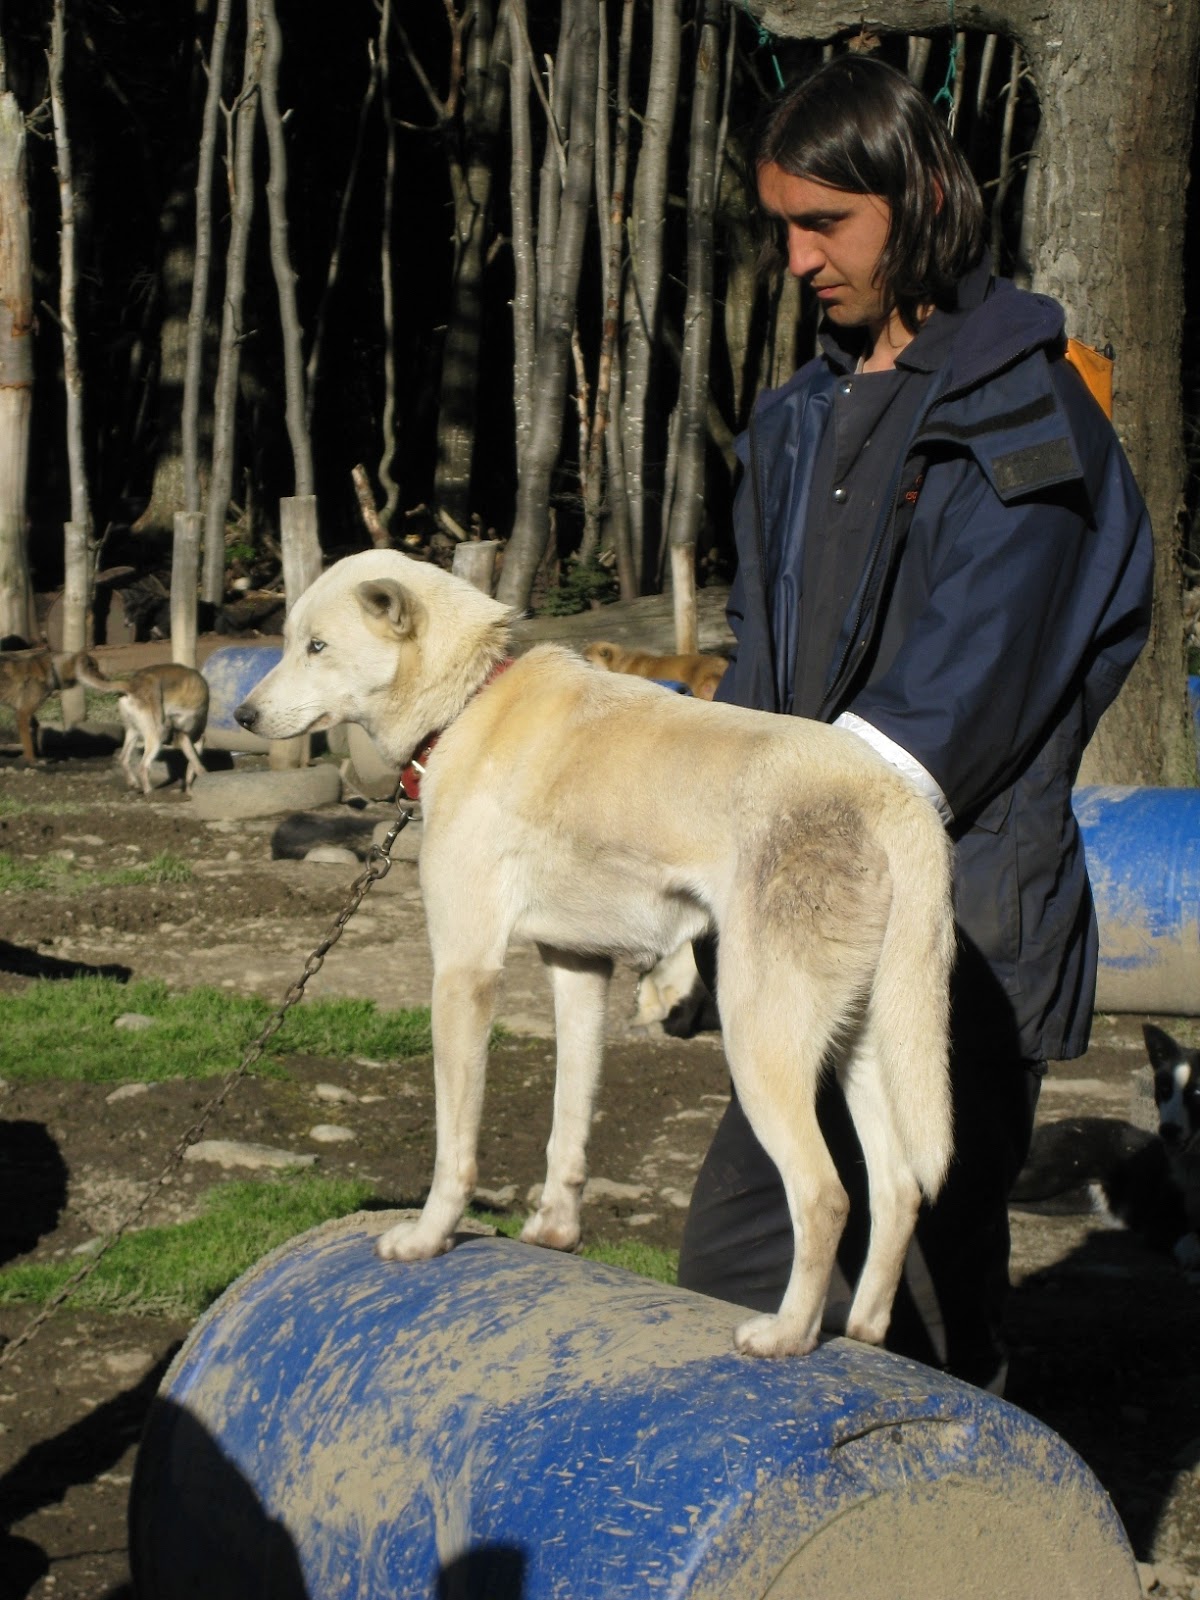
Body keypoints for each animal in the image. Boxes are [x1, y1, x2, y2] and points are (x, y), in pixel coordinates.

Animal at [73, 652, 209, 796]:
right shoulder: (188, 736)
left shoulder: (186, 739)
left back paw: (133, 783)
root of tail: (131, 684)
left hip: (133, 732)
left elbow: (192, 765)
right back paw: (149, 791)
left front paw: (190, 789)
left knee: (123, 758)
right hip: (156, 737)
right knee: (143, 767)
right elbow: (194, 764)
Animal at [1017, 1017, 1200, 1267]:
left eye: (1198, 1093)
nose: (1167, 1131)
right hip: (1047, 1174)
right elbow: (1188, 1239)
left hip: (1062, 1199)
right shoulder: (1158, 1222)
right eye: (1164, 1090)